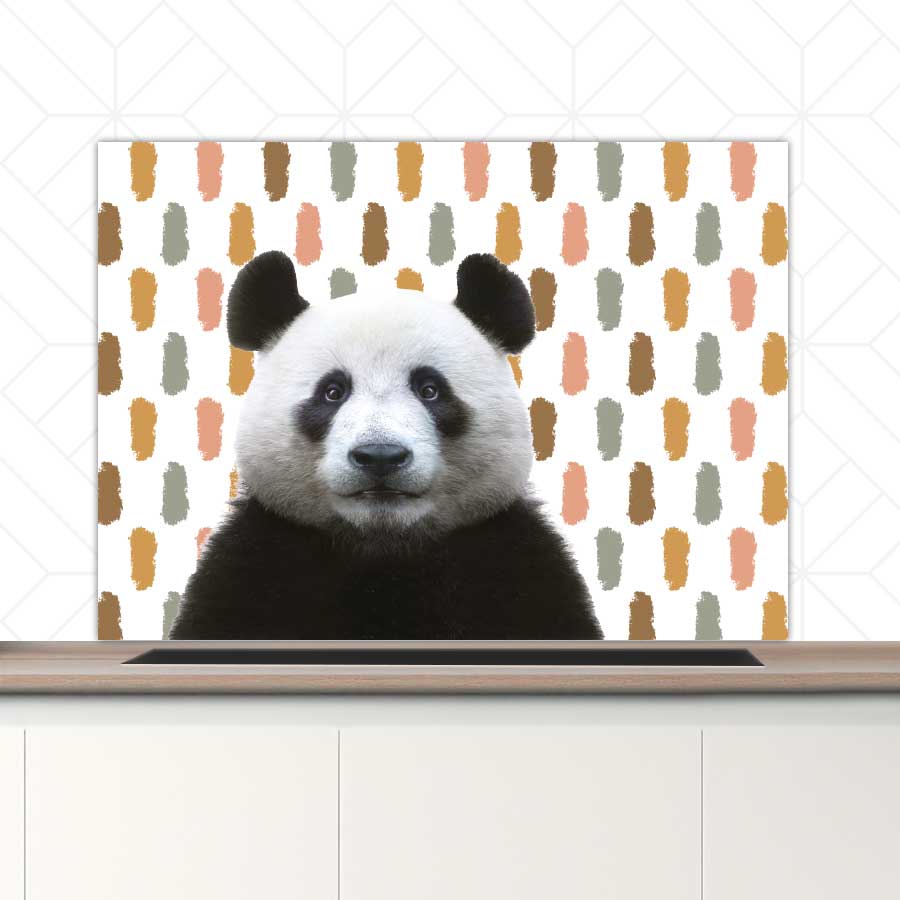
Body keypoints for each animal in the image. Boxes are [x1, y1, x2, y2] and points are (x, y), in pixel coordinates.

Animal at [169, 250, 602, 640]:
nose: (380, 456)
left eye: (430, 389)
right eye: (332, 391)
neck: (384, 548)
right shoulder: (256, 564)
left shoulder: (514, 564)